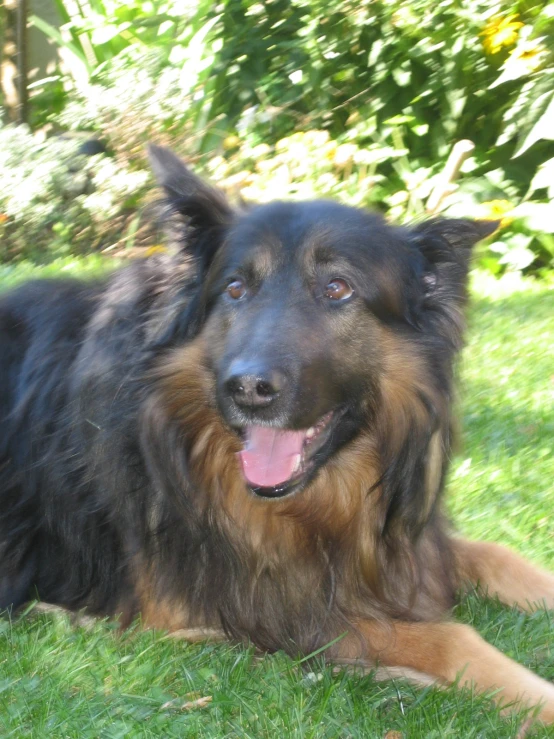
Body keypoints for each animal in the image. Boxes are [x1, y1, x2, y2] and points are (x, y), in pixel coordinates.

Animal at [3, 146, 552, 724]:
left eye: (337, 288)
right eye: (235, 288)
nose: (247, 388)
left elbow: (495, 552)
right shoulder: (242, 606)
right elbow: (450, 638)